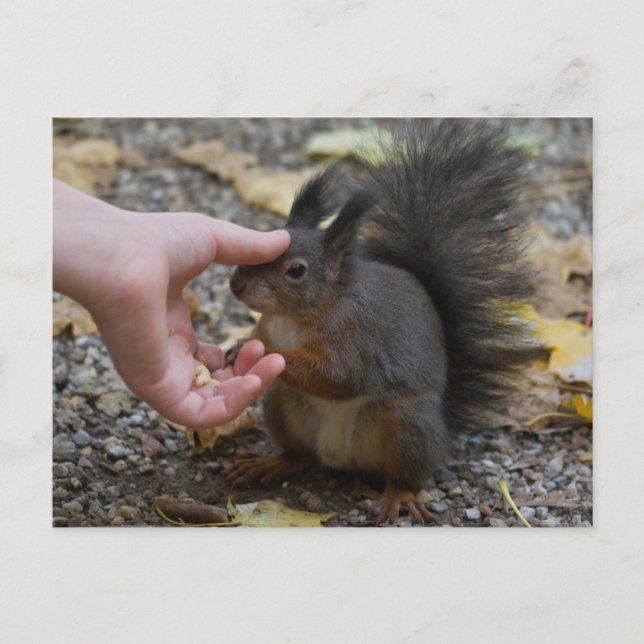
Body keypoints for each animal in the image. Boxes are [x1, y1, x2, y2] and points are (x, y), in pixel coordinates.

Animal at [223, 120, 537, 525]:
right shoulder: (268, 324)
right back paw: (271, 464)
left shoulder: (356, 337)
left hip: (405, 423)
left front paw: (261, 352)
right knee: (301, 456)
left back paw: (398, 497)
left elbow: (338, 376)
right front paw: (238, 345)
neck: (293, 316)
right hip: (282, 403)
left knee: (405, 475)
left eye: (296, 271)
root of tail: (340, 458)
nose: (236, 285)